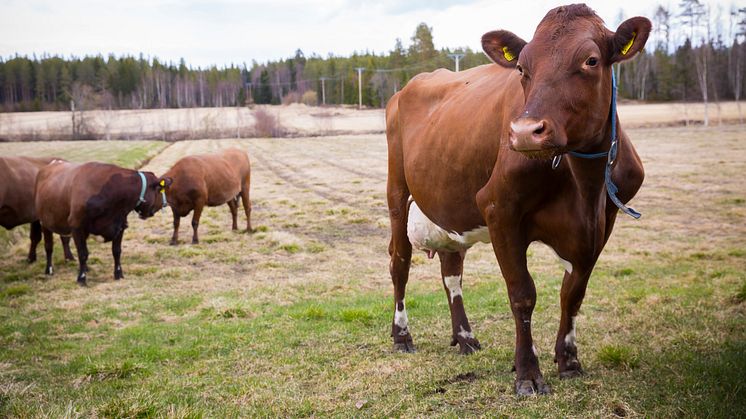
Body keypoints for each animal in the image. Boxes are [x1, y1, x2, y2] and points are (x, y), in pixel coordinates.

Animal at [36, 161, 170, 286]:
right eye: (159, 190)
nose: (164, 204)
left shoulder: (120, 226)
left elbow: (116, 251)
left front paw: (118, 274)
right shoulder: (77, 226)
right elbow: (83, 253)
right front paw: (81, 279)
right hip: (44, 222)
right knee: (49, 247)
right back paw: (49, 270)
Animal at [386, 3, 648, 396]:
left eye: (590, 60)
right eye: (522, 68)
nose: (525, 132)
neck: (585, 187)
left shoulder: (602, 224)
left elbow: (573, 294)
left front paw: (568, 360)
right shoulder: (499, 210)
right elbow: (522, 293)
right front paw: (528, 373)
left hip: (448, 207)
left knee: (451, 271)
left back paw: (465, 337)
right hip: (397, 194)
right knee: (399, 263)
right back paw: (402, 335)